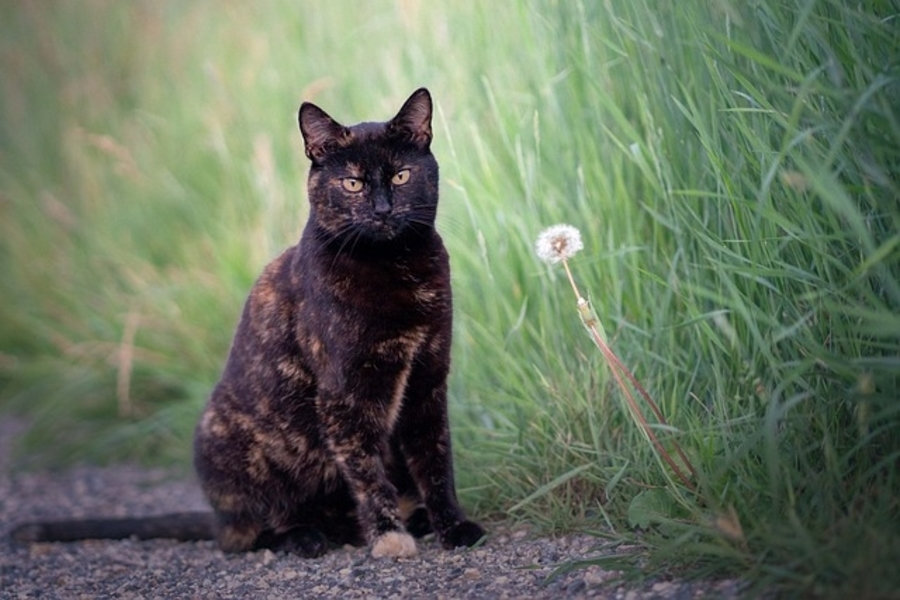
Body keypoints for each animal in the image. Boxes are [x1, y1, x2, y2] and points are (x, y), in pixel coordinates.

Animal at [7, 88, 486, 556]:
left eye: (401, 176)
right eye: (352, 183)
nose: (383, 210)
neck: (395, 268)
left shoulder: (427, 380)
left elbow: (435, 462)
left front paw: (452, 526)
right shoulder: (345, 395)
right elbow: (367, 472)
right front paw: (389, 538)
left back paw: (405, 520)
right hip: (223, 437)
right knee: (247, 533)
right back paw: (305, 537)